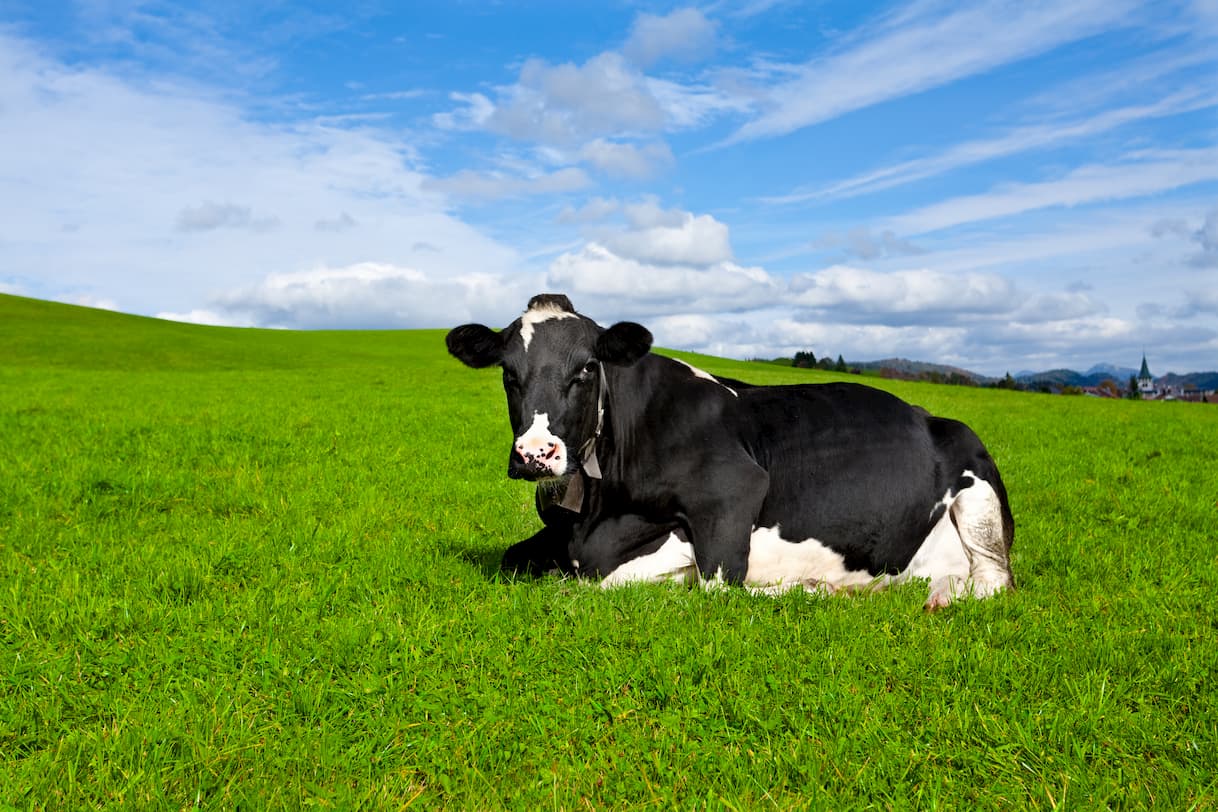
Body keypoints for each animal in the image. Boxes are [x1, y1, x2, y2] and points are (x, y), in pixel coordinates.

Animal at [443, 293, 1013, 608]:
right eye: (507, 373)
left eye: (586, 367)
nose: (535, 453)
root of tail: (926, 415)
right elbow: (515, 558)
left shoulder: (734, 493)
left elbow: (709, 584)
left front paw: (810, 587)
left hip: (977, 487)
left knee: (994, 581)